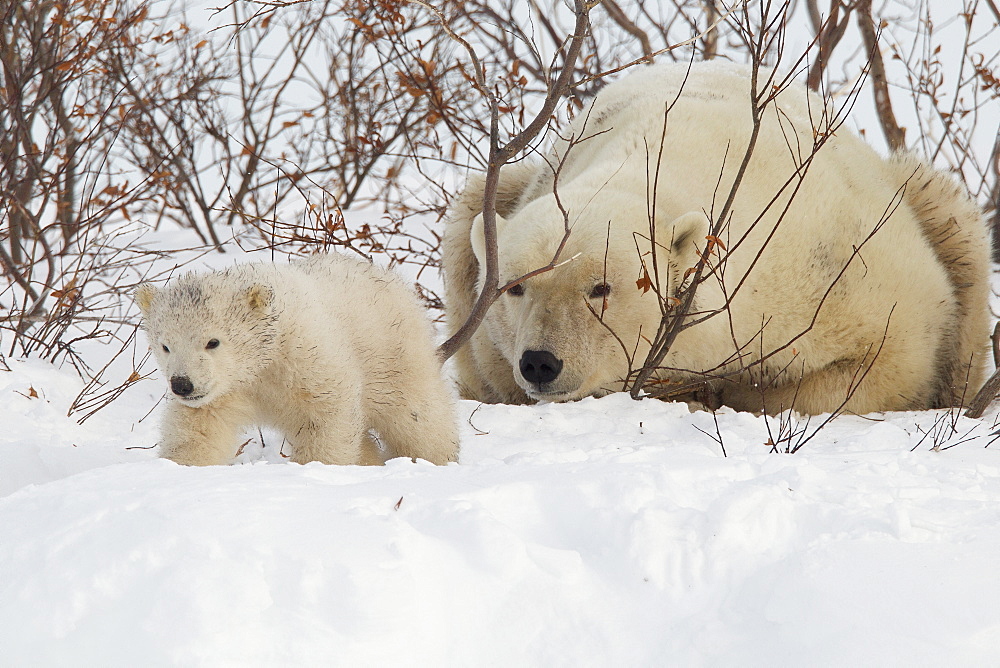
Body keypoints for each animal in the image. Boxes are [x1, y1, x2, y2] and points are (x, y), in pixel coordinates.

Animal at [446, 64, 992, 418]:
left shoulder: (842, 270)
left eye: (600, 288)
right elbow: (491, 369)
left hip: (922, 197)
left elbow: (890, 361)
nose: (540, 362)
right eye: (515, 287)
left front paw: (727, 393)